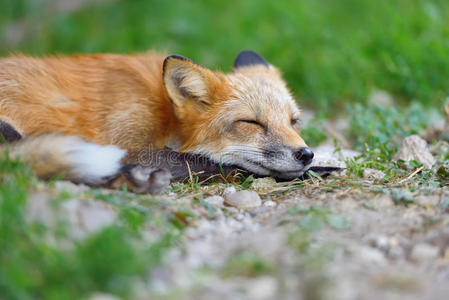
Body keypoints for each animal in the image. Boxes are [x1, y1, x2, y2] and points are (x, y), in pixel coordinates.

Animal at [0, 50, 314, 189]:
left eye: (293, 121)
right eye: (250, 123)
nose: (305, 154)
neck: (164, 116)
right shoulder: (123, 139)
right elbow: (217, 165)